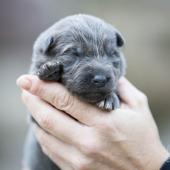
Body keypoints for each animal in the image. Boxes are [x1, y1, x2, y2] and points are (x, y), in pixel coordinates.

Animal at [22, 14, 126, 170]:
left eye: (112, 53)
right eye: (73, 54)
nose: (100, 79)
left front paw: (109, 98)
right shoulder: (35, 116)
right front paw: (50, 70)